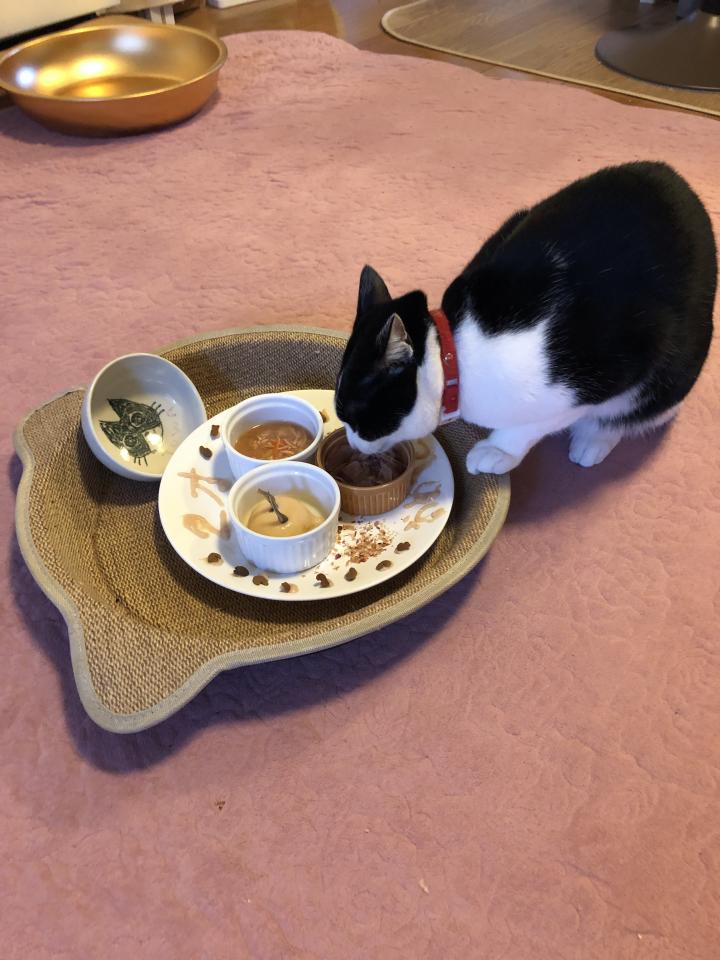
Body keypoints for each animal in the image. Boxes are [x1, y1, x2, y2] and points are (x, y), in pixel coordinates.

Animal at [334, 161, 716, 474]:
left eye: (356, 420)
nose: (352, 443)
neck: (455, 353)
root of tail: (675, 177)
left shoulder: (602, 372)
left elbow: (532, 425)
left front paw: (498, 451)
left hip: (675, 369)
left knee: (634, 410)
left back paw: (592, 442)